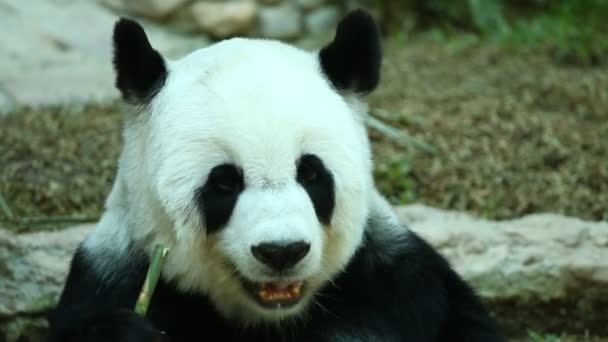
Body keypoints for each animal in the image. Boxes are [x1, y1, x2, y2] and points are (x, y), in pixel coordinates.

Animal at [46, 9, 504, 340]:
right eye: (224, 182)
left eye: (312, 174)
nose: (282, 251)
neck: (269, 317)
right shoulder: (114, 275)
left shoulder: (400, 283)